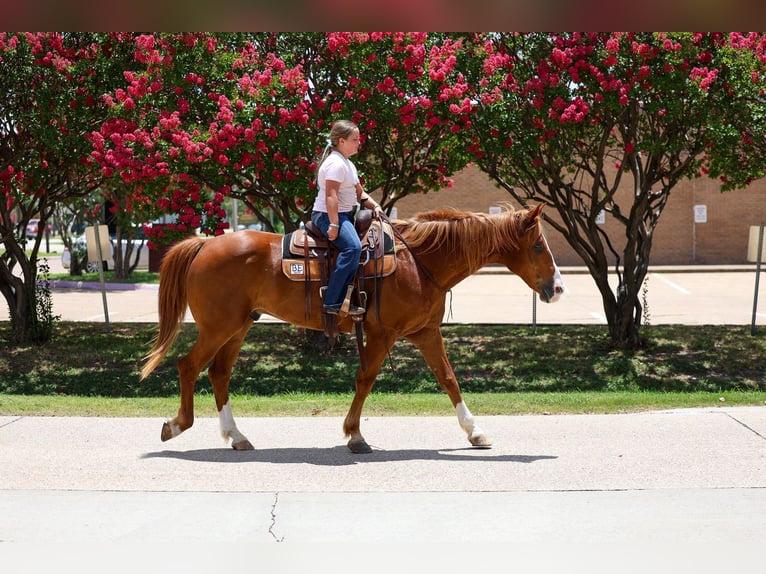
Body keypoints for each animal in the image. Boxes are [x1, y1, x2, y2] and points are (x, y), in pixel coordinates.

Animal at [140, 203, 565, 453]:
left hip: (239, 326)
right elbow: (365, 379)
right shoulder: (382, 334)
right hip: (219, 326)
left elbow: (448, 379)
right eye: (538, 246)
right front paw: (355, 435)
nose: (558, 288)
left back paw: (237, 437)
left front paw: (475, 433)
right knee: (189, 367)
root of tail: (204, 244)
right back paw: (176, 426)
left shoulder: (425, 332)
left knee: (219, 373)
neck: (419, 260)